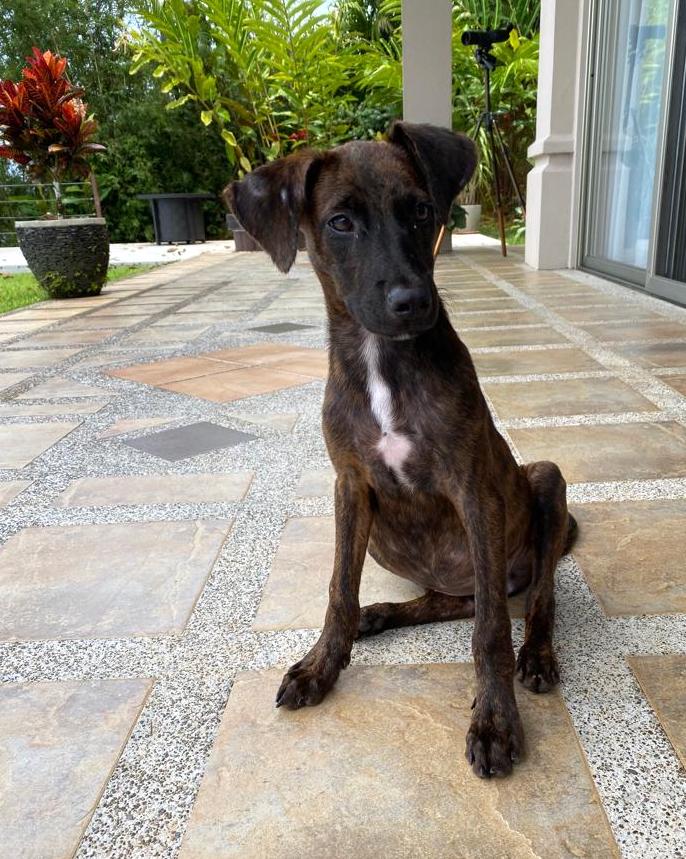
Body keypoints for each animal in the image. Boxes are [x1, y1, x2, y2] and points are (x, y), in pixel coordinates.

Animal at [228, 122, 576, 780]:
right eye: (340, 222)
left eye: (420, 212)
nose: (412, 301)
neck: (381, 362)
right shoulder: (349, 485)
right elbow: (339, 590)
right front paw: (322, 664)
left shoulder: (475, 490)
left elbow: (492, 633)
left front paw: (495, 720)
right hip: (389, 540)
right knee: (454, 600)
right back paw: (382, 614)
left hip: (545, 481)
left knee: (531, 599)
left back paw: (538, 656)